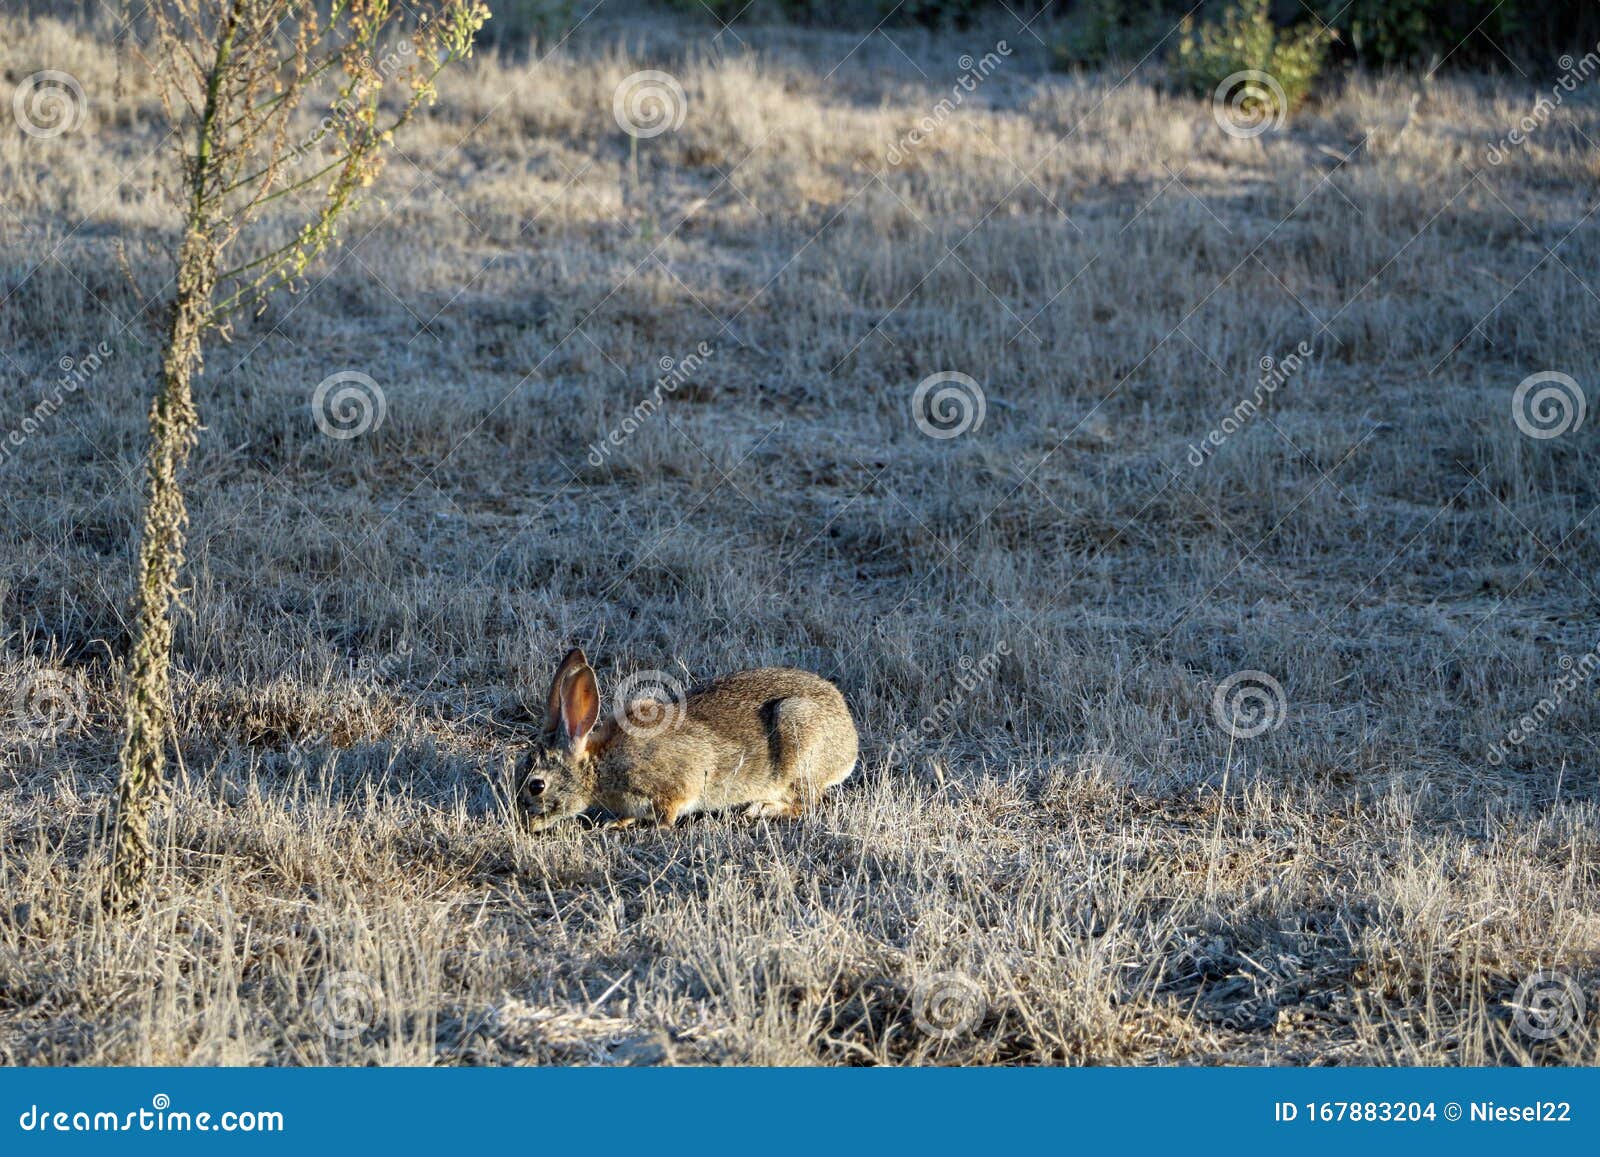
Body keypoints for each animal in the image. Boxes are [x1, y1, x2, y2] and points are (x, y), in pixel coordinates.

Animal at [514, 648, 858, 830]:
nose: (524, 822)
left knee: (809, 802)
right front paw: (618, 822)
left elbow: (670, 808)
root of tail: (850, 743)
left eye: (536, 786)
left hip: (797, 737)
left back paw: (761, 809)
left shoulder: (677, 782)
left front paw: (647, 825)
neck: (598, 767)